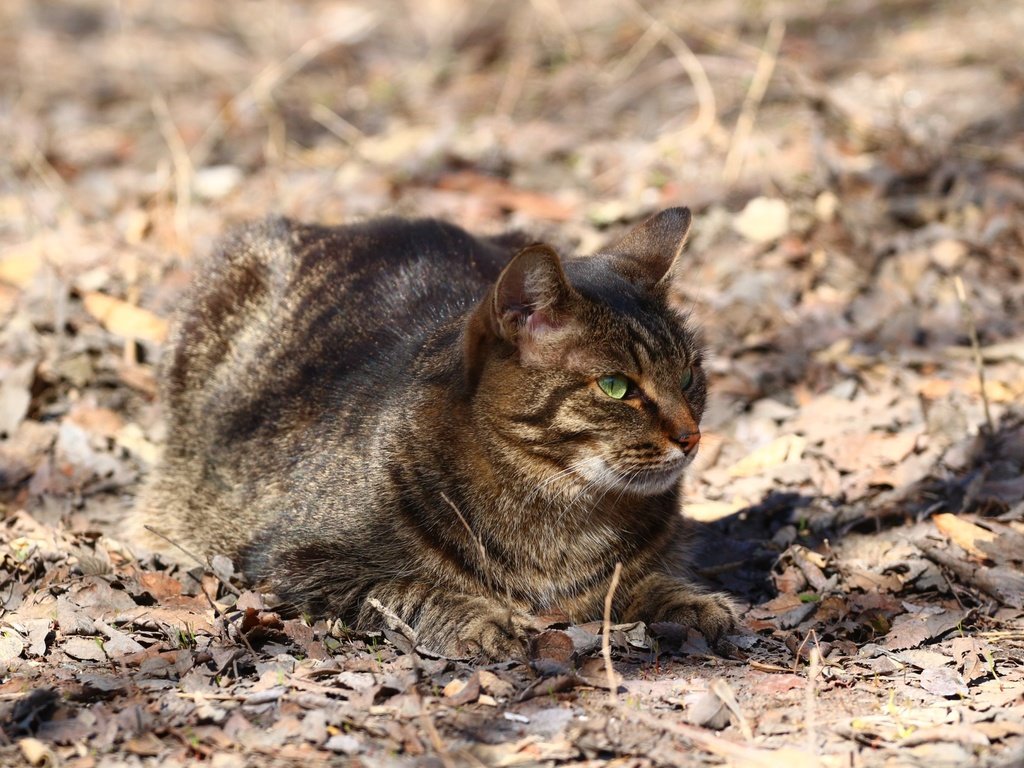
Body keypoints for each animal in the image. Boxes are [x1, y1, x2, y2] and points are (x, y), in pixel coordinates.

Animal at [136, 205, 737, 663]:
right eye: (616, 386)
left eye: (689, 374)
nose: (691, 436)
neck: (561, 513)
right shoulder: (298, 563)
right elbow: (410, 588)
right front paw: (483, 619)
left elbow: (640, 579)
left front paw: (691, 601)